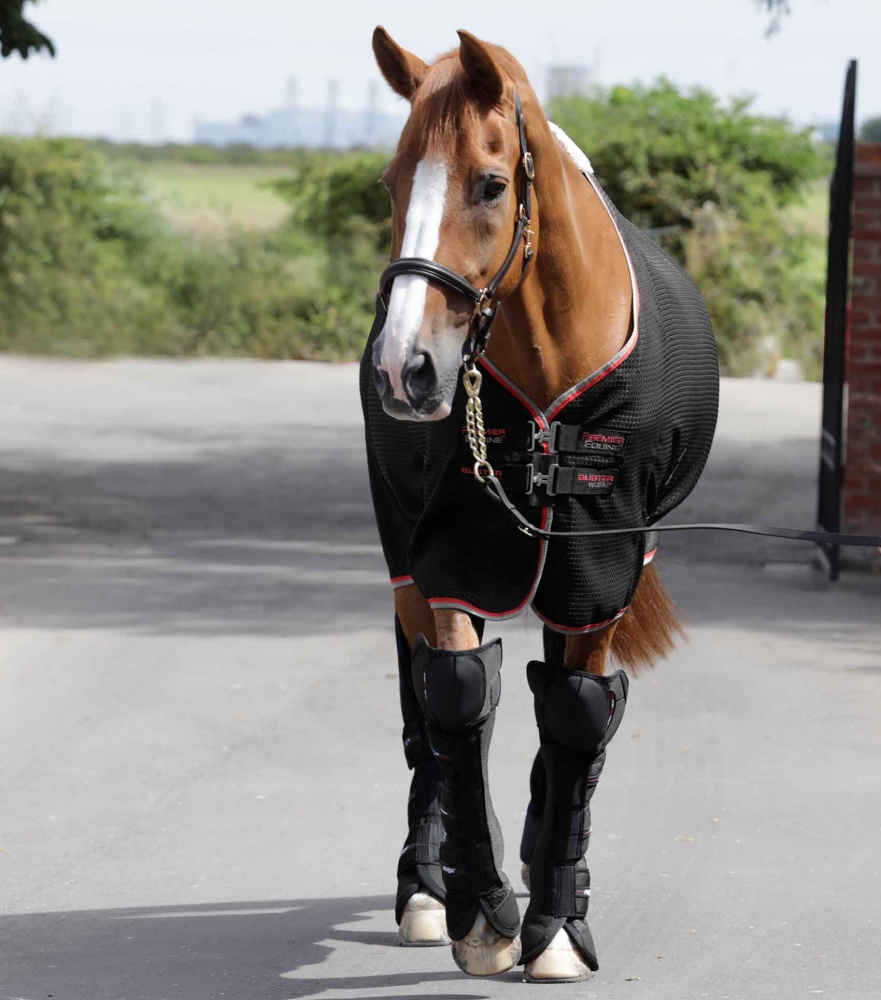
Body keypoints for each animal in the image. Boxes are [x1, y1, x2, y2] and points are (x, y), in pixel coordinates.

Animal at [360, 27, 719, 983]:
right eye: (393, 182)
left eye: (490, 184)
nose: (404, 370)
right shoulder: (454, 550)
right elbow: (453, 698)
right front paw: (479, 912)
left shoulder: (600, 561)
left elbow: (576, 712)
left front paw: (555, 923)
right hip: (405, 550)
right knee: (429, 702)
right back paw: (428, 883)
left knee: (563, 702)